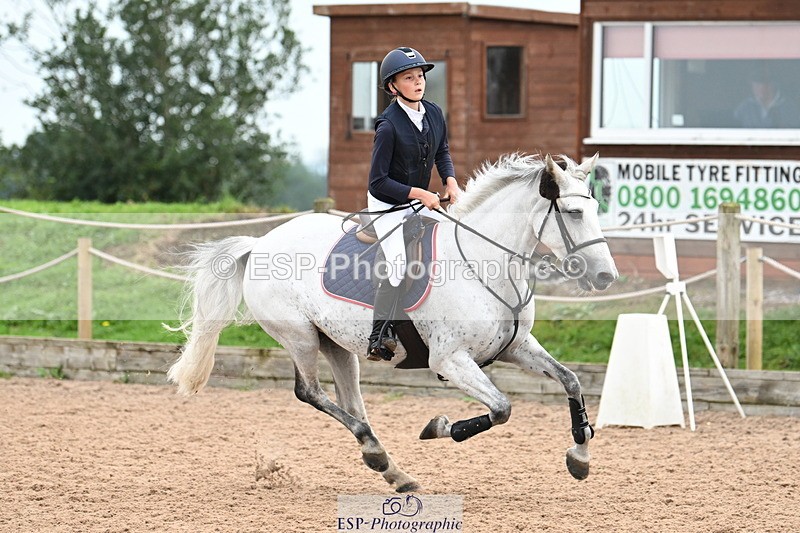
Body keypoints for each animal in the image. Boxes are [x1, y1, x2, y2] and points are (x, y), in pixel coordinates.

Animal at [167, 153, 618, 492]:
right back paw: (378, 454)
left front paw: (580, 457)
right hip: (299, 337)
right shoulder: (450, 361)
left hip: (336, 344)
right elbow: (502, 408)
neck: (485, 262)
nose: (606, 277)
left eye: (596, 209)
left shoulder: (517, 348)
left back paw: (391, 469)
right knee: (309, 392)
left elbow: (571, 380)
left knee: (351, 403)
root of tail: (260, 242)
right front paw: (438, 427)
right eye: (573, 212)